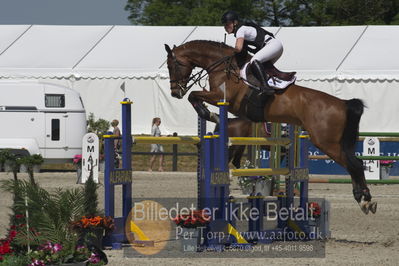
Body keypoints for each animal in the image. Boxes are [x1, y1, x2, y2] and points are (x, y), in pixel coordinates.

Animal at [166, 40, 378, 214]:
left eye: (172, 65)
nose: (175, 92)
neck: (222, 67)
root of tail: (343, 103)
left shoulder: (221, 97)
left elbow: (194, 95)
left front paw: (208, 114)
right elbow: (194, 96)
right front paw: (210, 114)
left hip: (326, 142)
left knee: (354, 165)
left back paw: (365, 200)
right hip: (336, 142)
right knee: (353, 163)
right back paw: (362, 198)